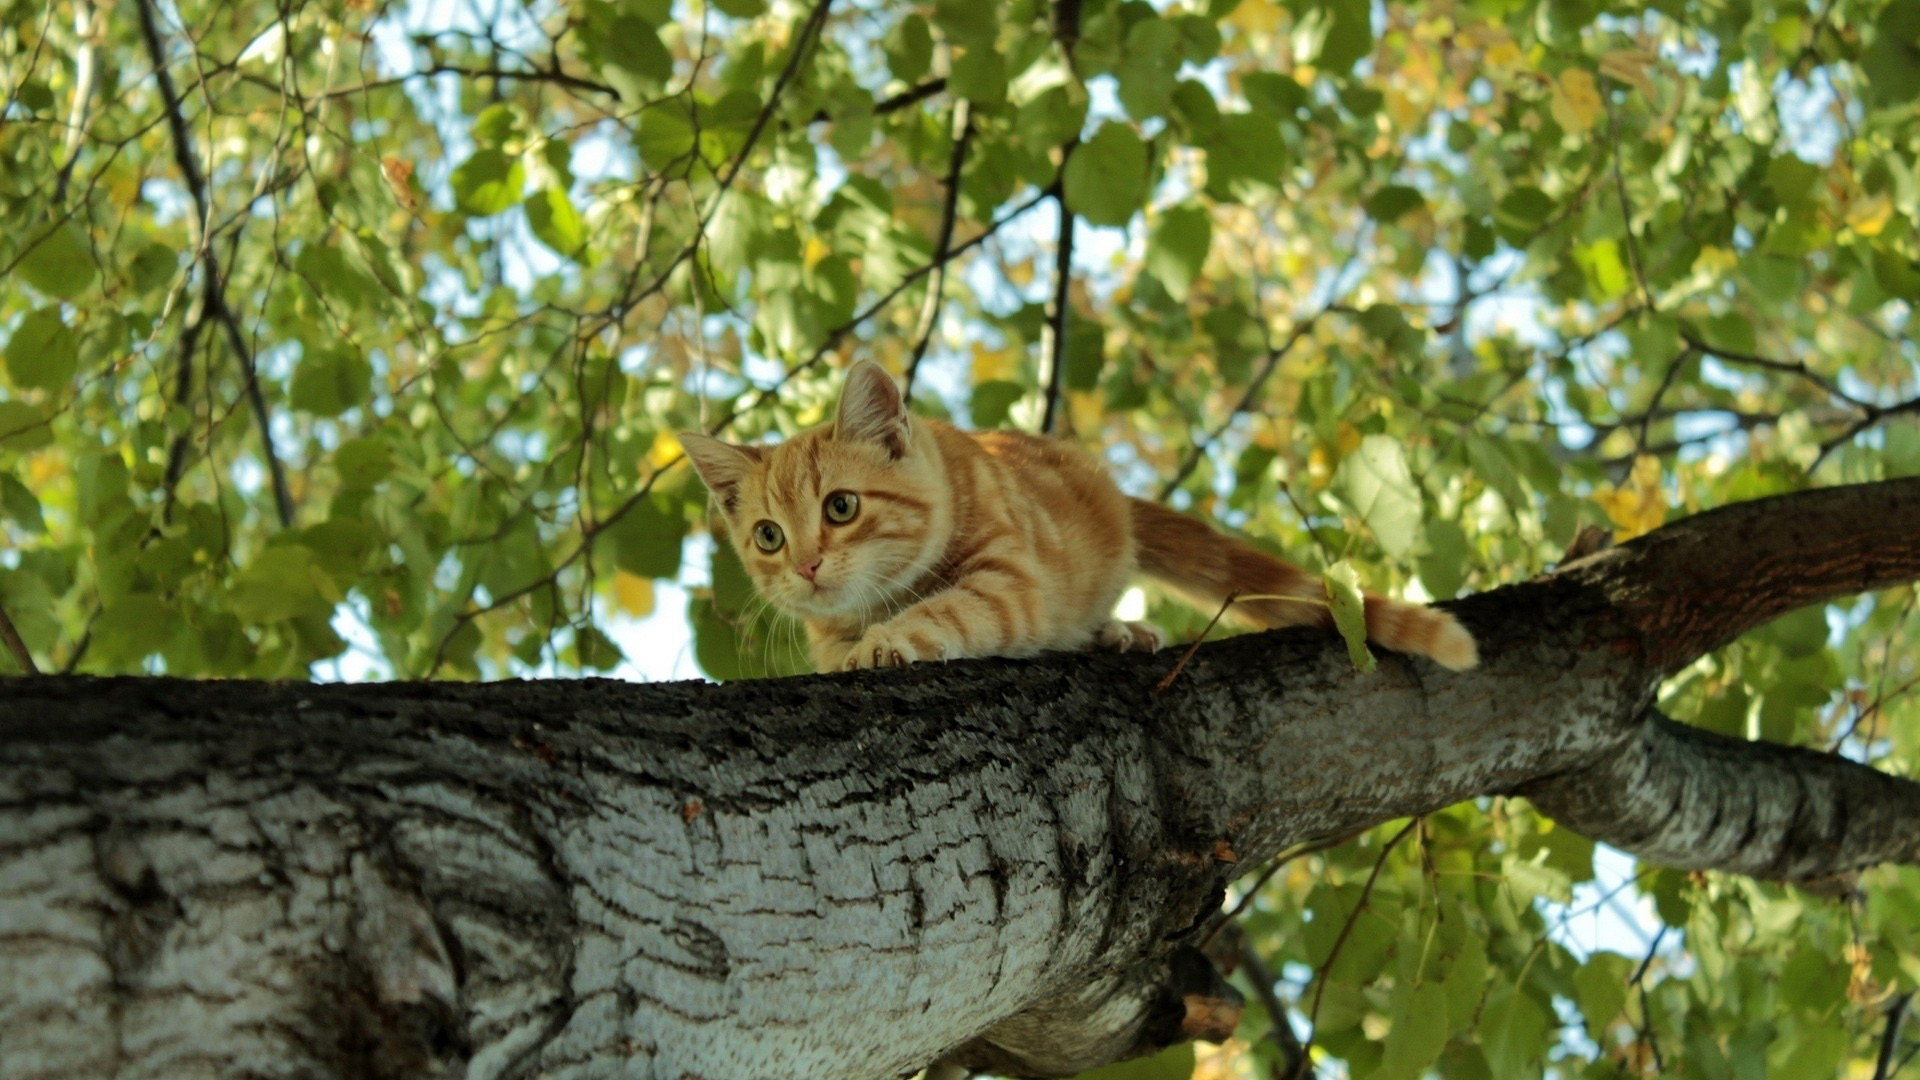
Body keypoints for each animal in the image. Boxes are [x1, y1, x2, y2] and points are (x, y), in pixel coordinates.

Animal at [683, 357, 1474, 668]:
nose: (808, 566)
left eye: (841, 506)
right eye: (769, 536)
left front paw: (888, 640)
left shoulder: (1013, 581)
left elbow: (948, 608)